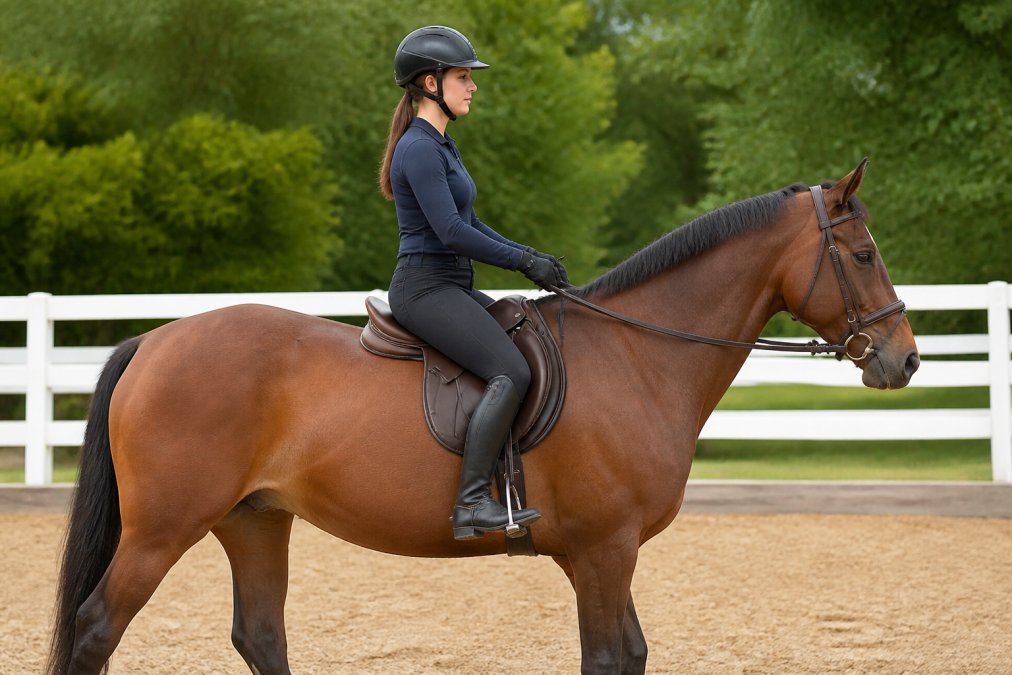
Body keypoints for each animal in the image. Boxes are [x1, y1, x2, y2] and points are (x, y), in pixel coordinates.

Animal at [48, 160, 919, 674]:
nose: (903, 359)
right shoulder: (603, 551)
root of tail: (155, 339)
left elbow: (632, 652)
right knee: (96, 627)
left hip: (254, 519)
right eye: (865, 254)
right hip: (164, 526)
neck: (637, 354)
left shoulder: (607, 552)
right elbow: (608, 656)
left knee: (260, 634)